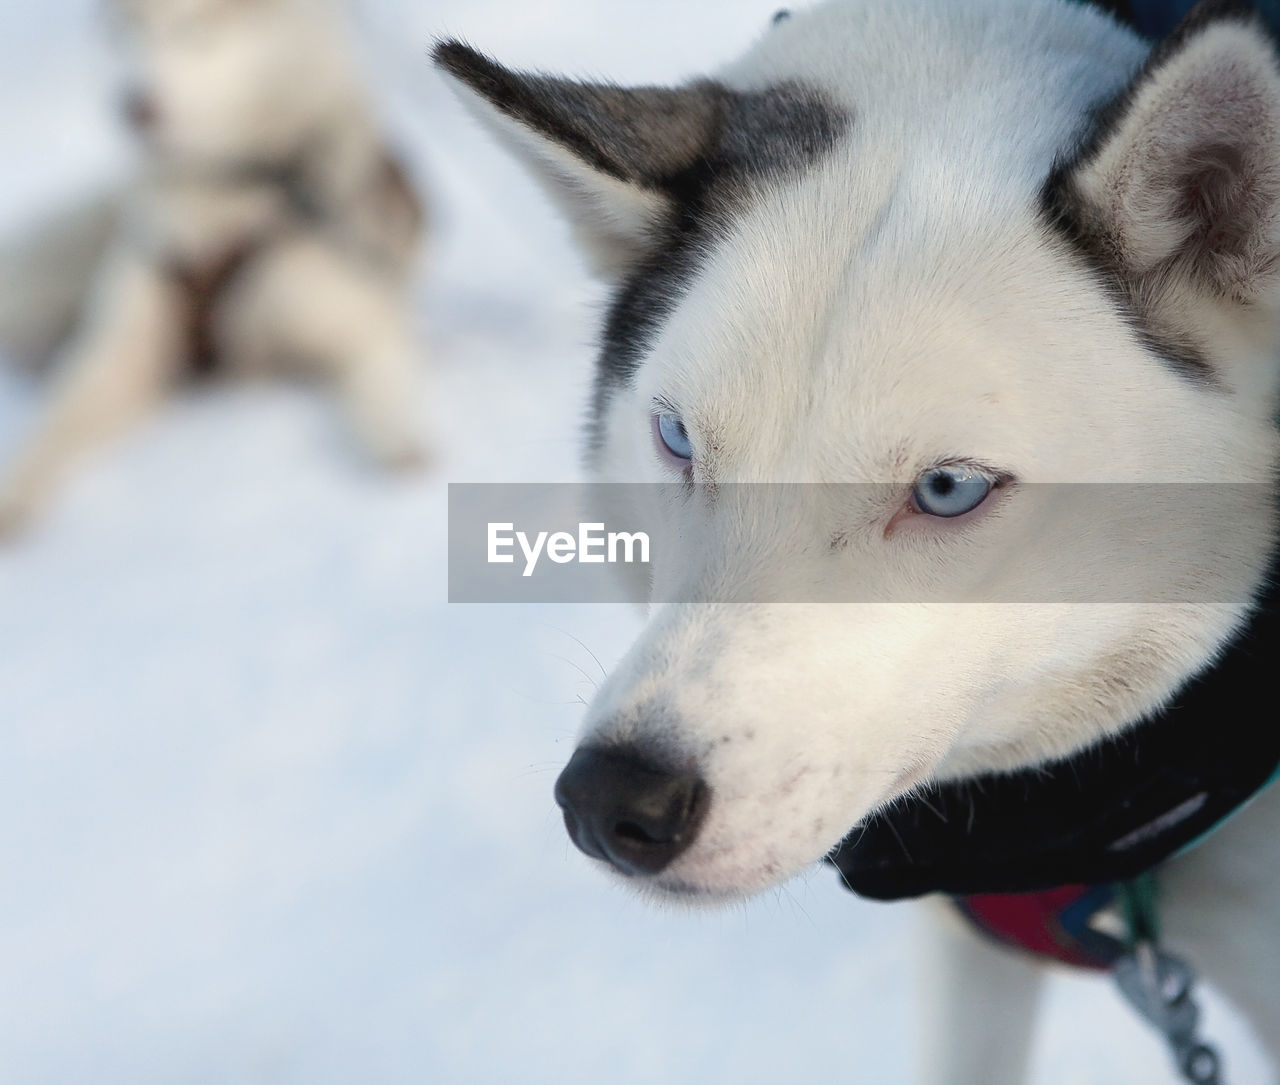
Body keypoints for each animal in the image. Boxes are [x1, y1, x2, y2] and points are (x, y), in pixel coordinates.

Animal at [0, 0, 430, 537]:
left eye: (195, 33)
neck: (223, 199)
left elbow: (382, 380)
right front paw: (15, 490)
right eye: (132, 33)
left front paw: (399, 436)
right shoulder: (123, 356)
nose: (134, 107)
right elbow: (57, 425)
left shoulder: (358, 323)